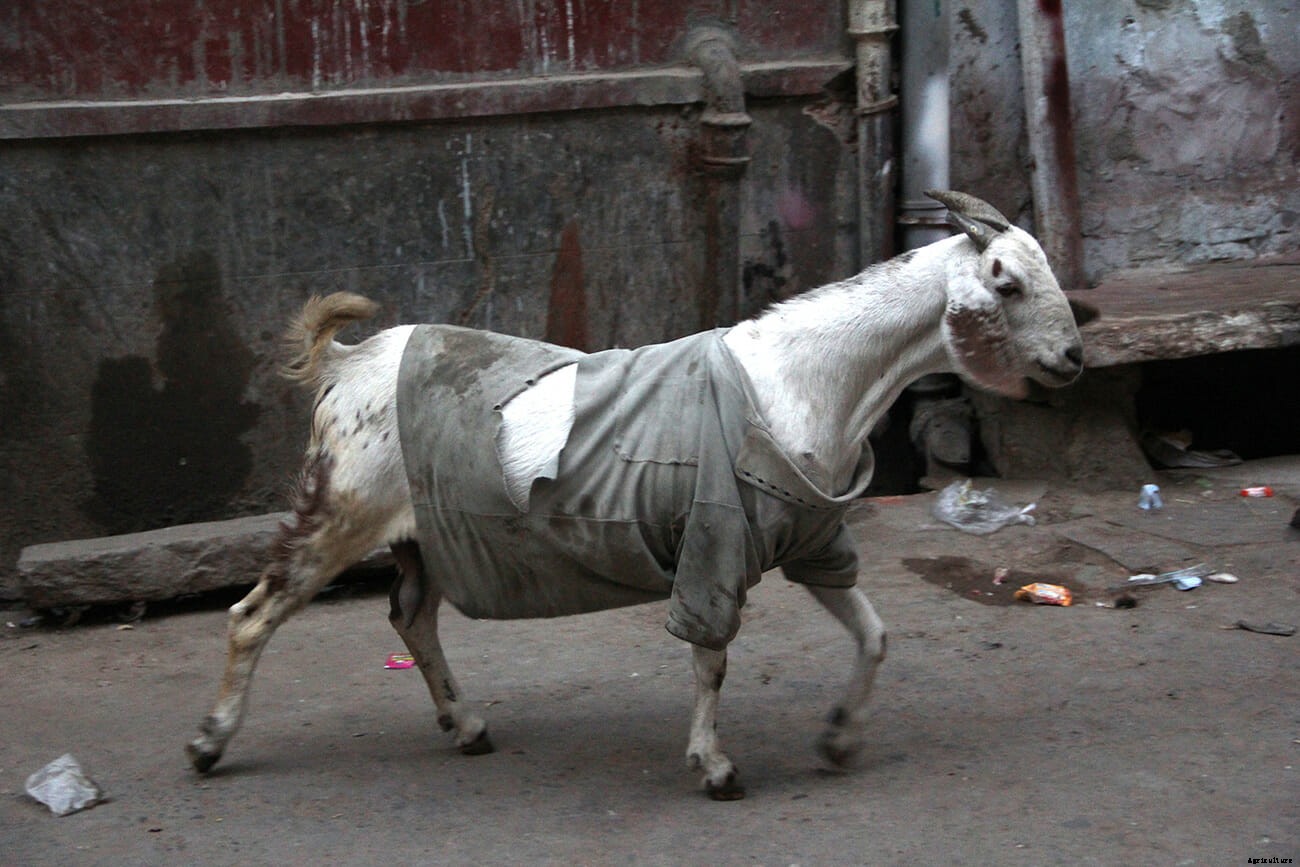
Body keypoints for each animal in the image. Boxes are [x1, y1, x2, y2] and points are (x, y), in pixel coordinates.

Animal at [187, 190, 1083, 799]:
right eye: (1005, 282)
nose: (1074, 359)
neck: (801, 379)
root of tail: (348, 362)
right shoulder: (714, 541)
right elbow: (712, 657)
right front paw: (714, 765)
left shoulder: (809, 537)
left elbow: (875, 634)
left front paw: (838, 738)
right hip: (341, 508)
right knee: (252, 615)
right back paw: (210, 742)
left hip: (432, 530)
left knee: (411, 616)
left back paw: (467, 724)